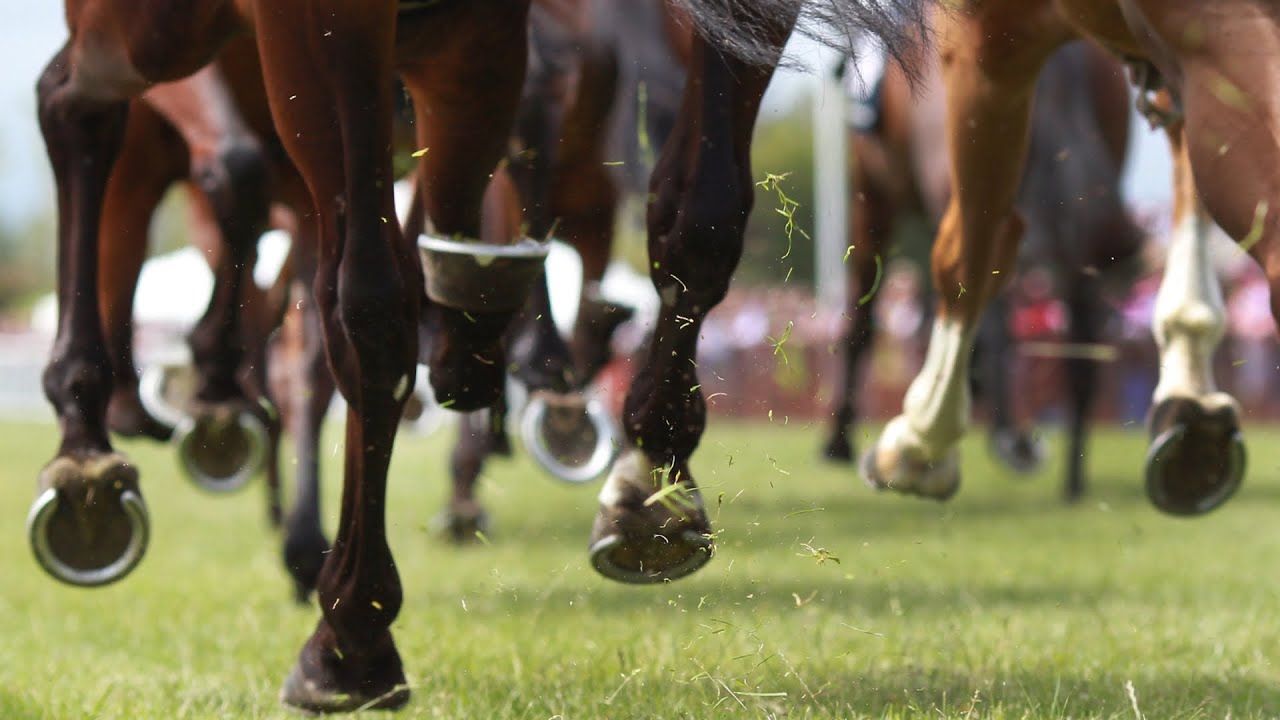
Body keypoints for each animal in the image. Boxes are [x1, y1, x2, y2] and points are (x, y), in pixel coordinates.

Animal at [36, 0, 923, 710]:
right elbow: (366, 303)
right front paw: (351, 638)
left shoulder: (495, 51)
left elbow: (695, 215)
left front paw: (649, 481)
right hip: (176, 43)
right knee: (78, 105)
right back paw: (99, 439)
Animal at [826, 38, 1144, 502]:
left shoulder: (871, 196)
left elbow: (861, 320)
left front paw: (838, 442)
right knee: (1081, 338)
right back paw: (1072, 480)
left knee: (983, 309)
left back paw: (1004, 438)